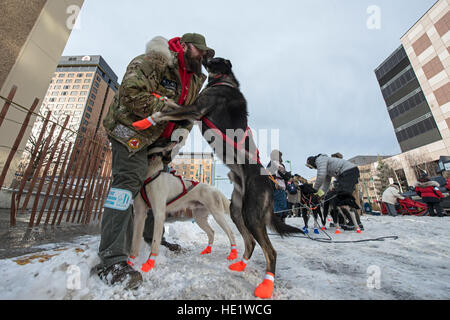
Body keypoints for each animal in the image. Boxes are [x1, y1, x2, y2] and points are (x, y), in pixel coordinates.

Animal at [132, 57, 304, 298]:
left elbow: (164, 112)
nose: (204, 57)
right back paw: (239, 264)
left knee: (270, 251)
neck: (224, 82)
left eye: (215, 60)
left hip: (252, 214)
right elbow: (170, 104)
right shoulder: (193, 110)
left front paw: (145, 121)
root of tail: (268, 181)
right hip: (237, 210)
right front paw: (159, 100)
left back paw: (265, 286)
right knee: (250, 242)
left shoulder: (196, 109)